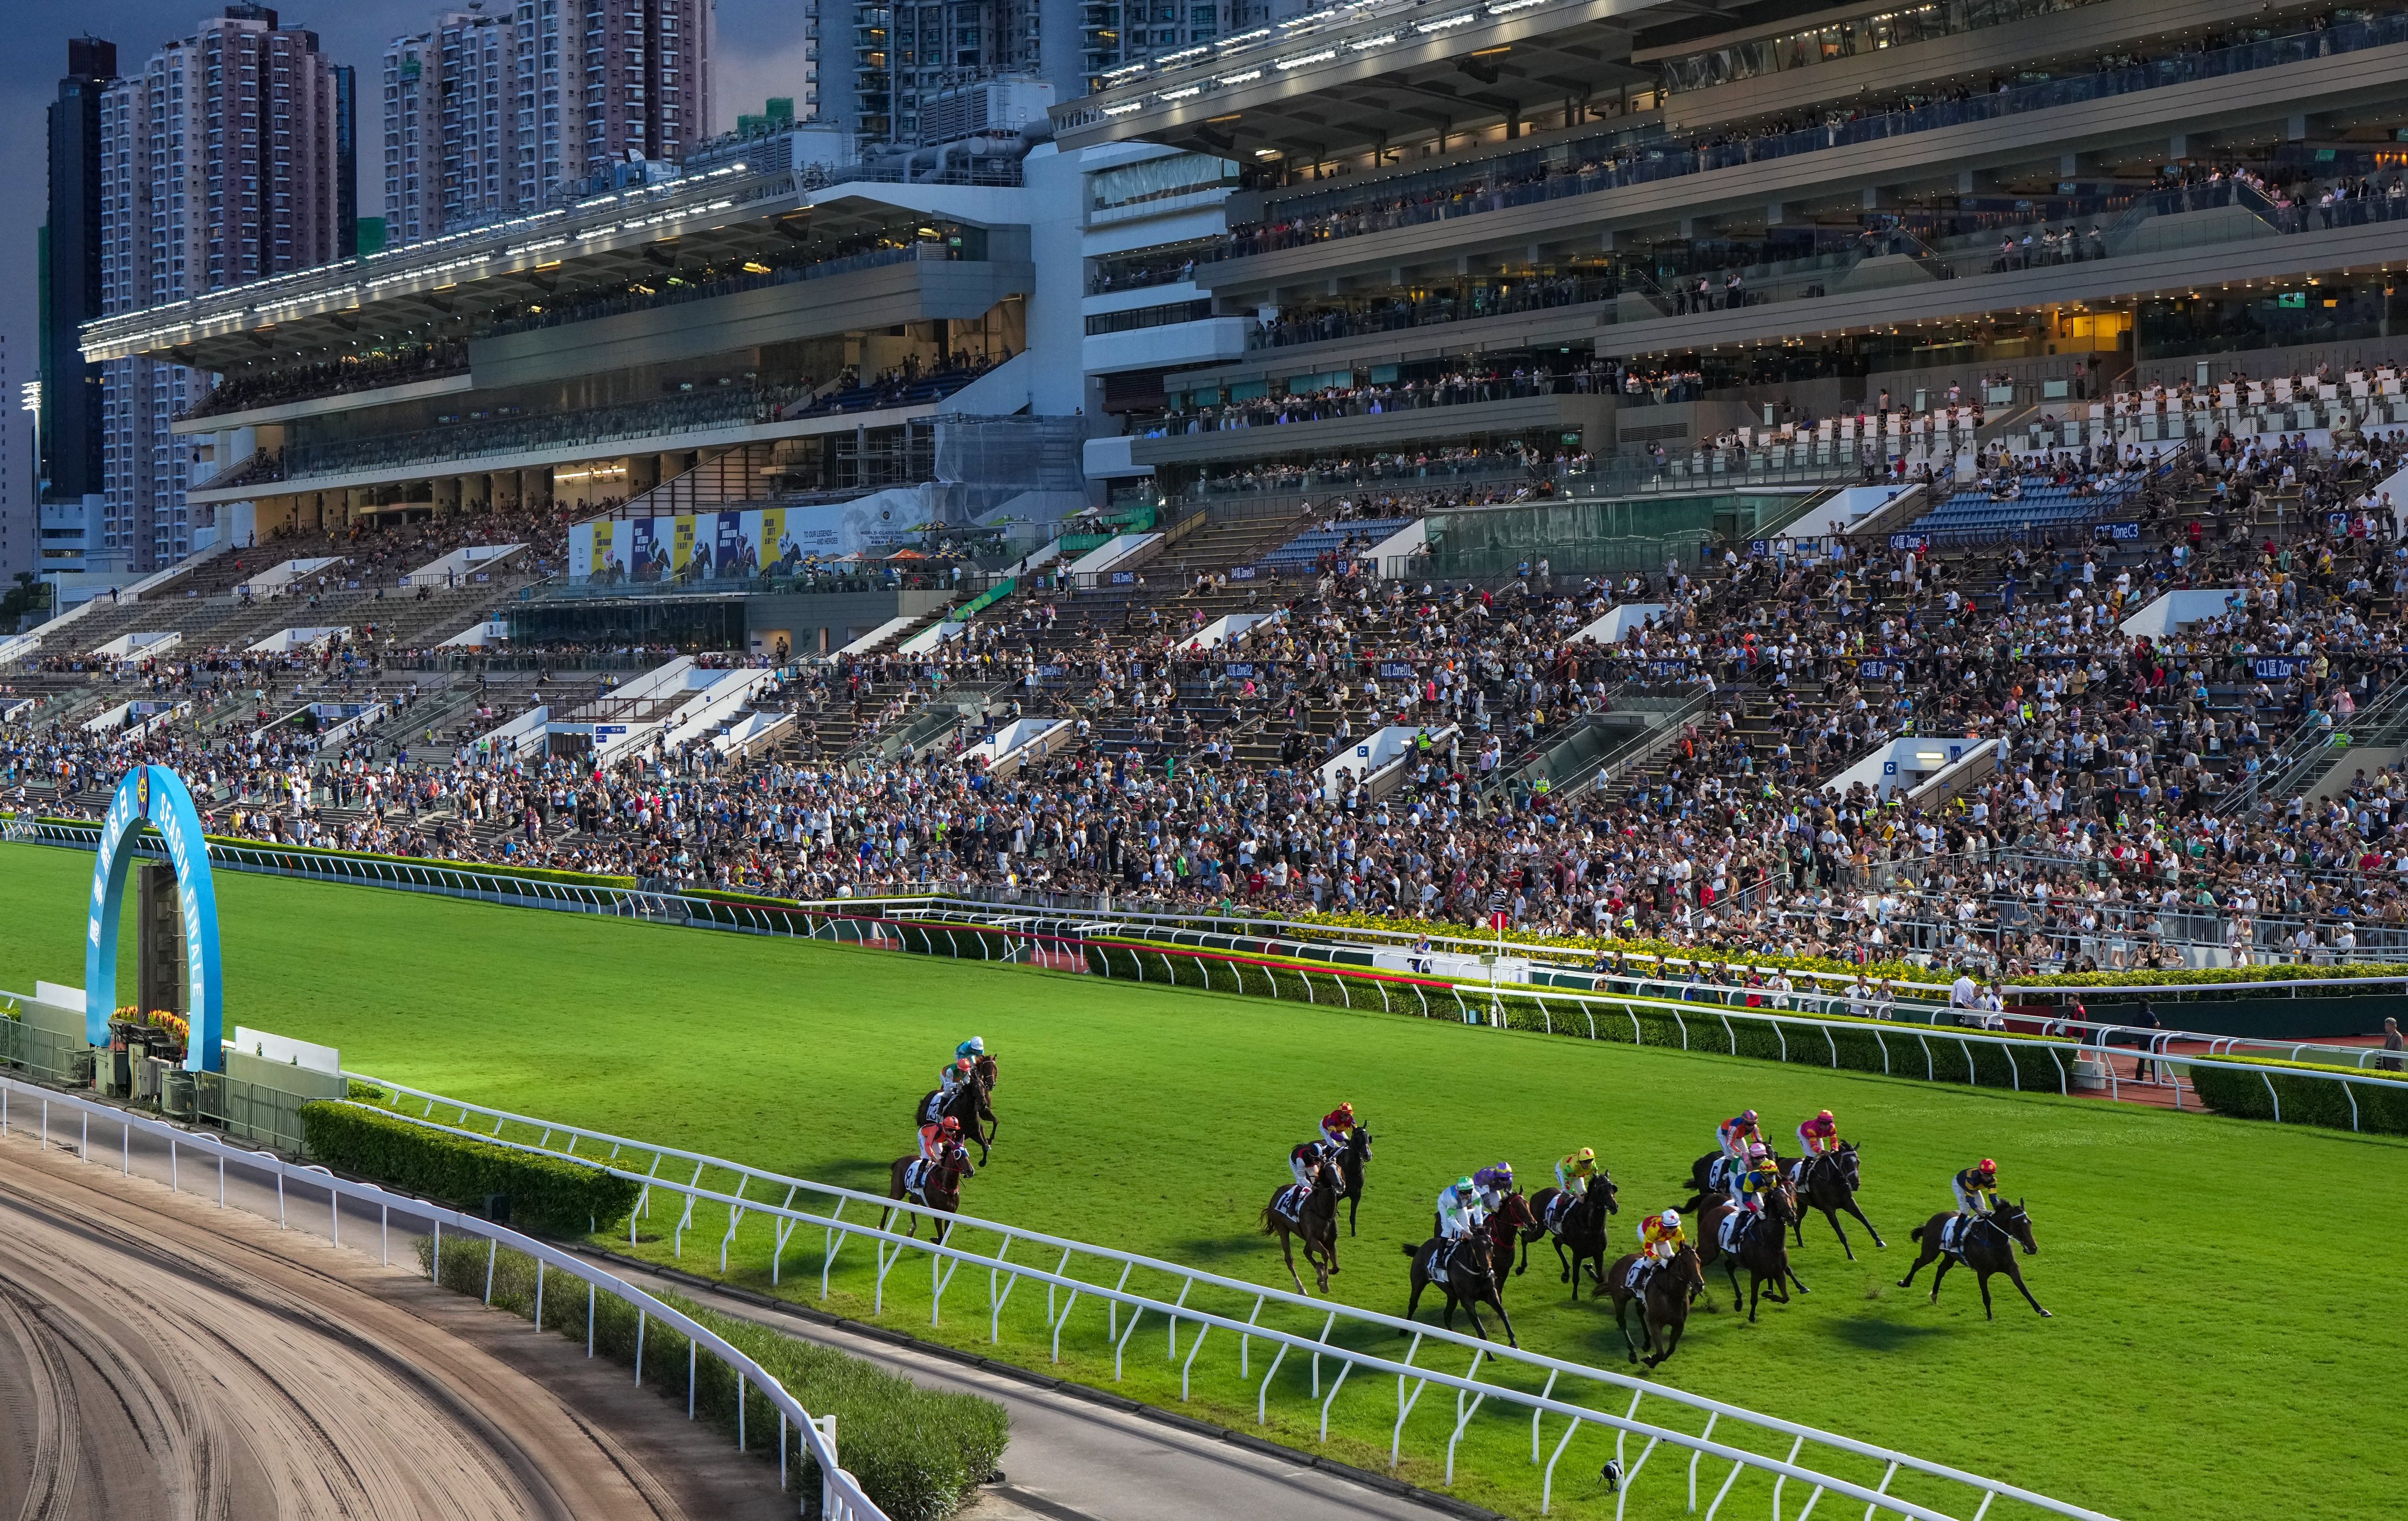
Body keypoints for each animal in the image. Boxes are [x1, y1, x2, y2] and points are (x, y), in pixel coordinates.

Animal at [886, 1145, 968, 1242]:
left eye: (967, 1154)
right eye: (957, 1154)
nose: (970, 1171)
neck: (947, 1187)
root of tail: (900, 1159)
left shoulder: (951, 1213)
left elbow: (946, 1237)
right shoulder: (937, 1214)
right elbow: (941, 1237)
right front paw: (935, 1239)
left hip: (917, 1196)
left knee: (911, 1201)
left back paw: (912, 1230)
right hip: (898, 1192)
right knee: (888, 1202)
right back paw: (880, 1227)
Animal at [915, 1059, 1001, 1165]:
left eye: (983, 1087)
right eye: (974, 1088)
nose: (983, 1103)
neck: (966, 1114)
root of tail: (925, 1098)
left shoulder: (975, 1132)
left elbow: (985, 1145)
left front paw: (983, 1161)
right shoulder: (956, 1137)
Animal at [1271, 1160, 1348, 1290]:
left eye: (1338, 1168)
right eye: (1328, 1171)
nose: (1340, 1184)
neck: (1323, 1213)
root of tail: (1276, 1193)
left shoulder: (1330, 1241)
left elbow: (1336, 1267)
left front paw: (1322, 1272)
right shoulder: (1313, 1239)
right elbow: (1325, 1254)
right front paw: (1323, 1279)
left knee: (1306, 1252)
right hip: (1282, 1228)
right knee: (1289, 1258)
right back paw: (1301, 1287)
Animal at [1599, 1251, 1714, 1367]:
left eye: (1699, 1260)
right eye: (1684, 1263)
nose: (1699, 1284)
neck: (1672, 1294)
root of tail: (1620, 1261)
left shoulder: (1679, 1325)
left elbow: (1670, 1350)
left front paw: (1652, 1359)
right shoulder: (1656, 1324)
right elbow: (1661, 1354)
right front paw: (1650, 1360)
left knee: (1639, 1309)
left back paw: (1647, 1343)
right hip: (1619, 1298)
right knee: (1621, 1320)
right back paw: (1633, 1354)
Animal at [1897, 1198, 2051, 1319]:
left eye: (2030, 1222)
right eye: (2018, 1225)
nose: (2033, 1248)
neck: (1994, 1240)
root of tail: (1933, 1219)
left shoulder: (2012, 1268)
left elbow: (2024, 1289)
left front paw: (2042, 1310)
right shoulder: (1982, 1272)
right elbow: (1987, 1296)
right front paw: (1989, 1317)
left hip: (1951, 1256)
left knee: (1941, 1269)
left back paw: (1934, 1296)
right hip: (1930, 1252)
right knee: (1918, 1262)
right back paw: (1905, 1283)